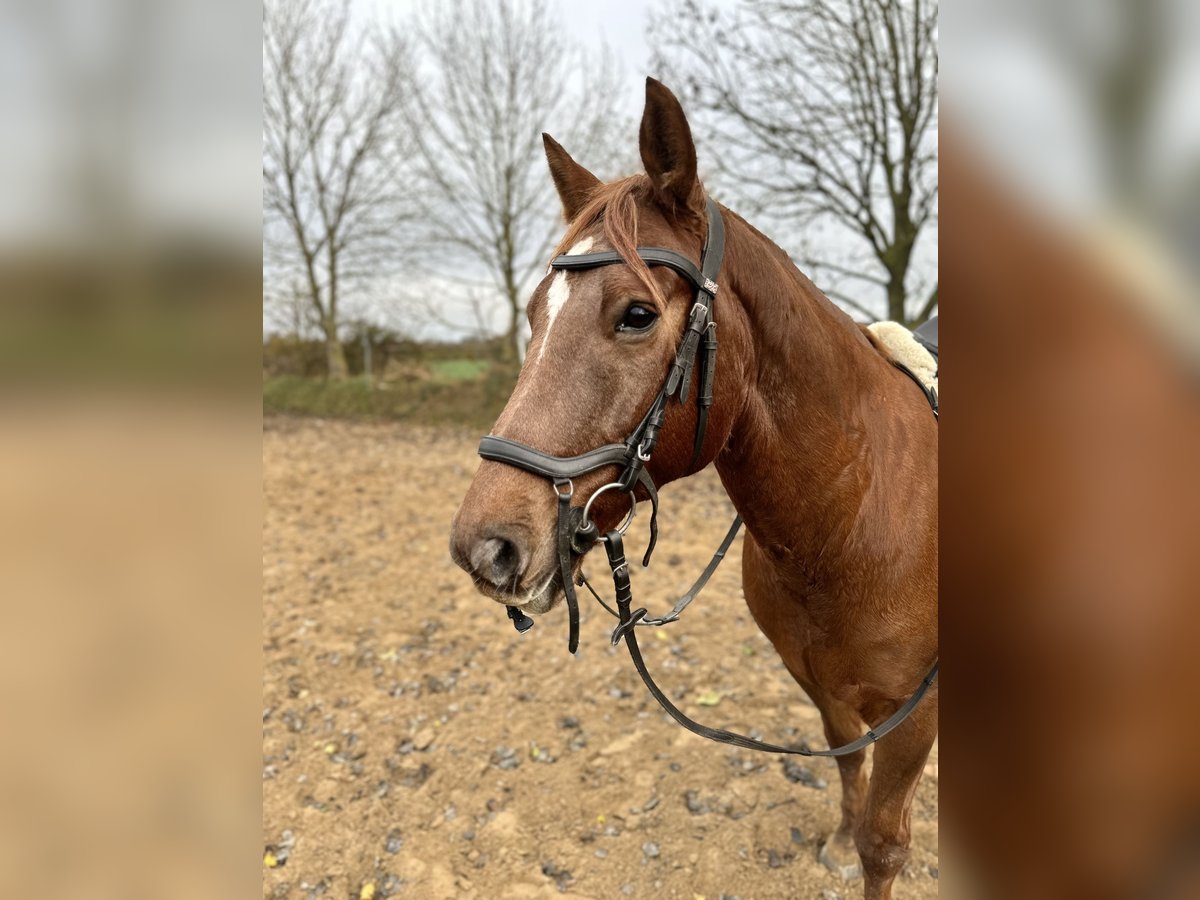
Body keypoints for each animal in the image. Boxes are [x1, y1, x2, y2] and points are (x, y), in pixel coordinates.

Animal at [451, 79, 936, 900]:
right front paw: (838, 842)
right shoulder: (824, 688)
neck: (855, 519)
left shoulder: (913, 716)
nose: (485, 548)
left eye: (638, 314)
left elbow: (885, 843)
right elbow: (847, 767)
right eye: (534, 314)